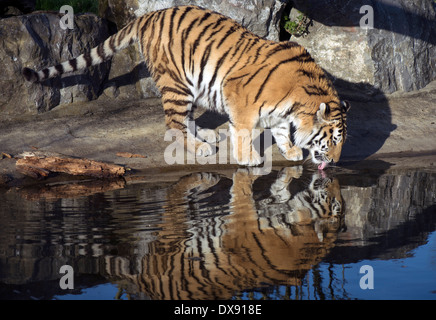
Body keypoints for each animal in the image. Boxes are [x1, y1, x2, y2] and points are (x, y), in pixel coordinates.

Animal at [23, 5, 350, 170]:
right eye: (332, 140)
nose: (336, 162)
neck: (300, 100)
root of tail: (148, 15)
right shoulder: (239, 94)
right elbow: (244, 131)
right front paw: (249, 159)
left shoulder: (280, 112)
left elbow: (282, 130)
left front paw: (292, 150)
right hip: (176, 84)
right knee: (173, 124)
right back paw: (198, 147)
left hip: (192, 85)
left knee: (185, 119)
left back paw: (205, 135)